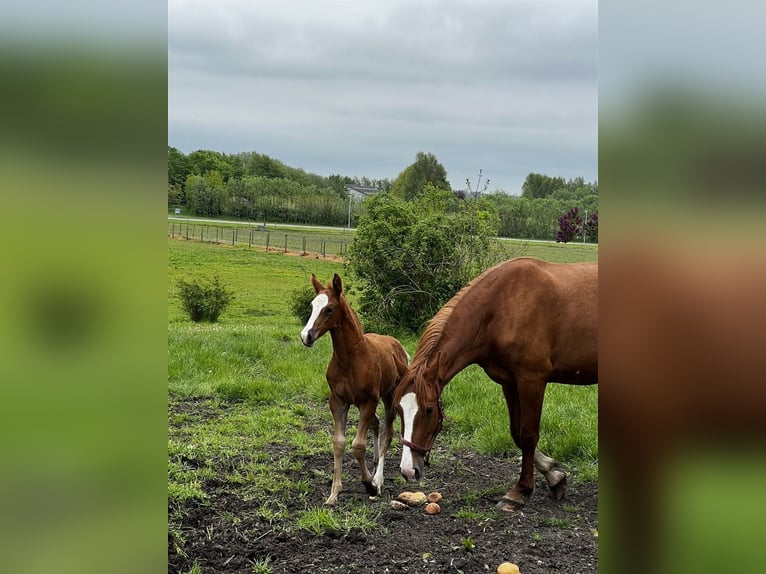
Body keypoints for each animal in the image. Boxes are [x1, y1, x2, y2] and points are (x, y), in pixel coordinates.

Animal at [300, 274, 412, 504]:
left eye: (329, 309)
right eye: (312, 306)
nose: (306, 336)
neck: (350, 359)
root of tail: (398, 346)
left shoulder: (368, 401)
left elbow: (358, 445)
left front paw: (370, 484)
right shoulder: (337, 401)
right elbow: (339, 443)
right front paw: (334, 493)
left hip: (389, 398)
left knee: (386, 433)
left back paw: (379, 480)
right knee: (376, 426)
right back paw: (374, 468)